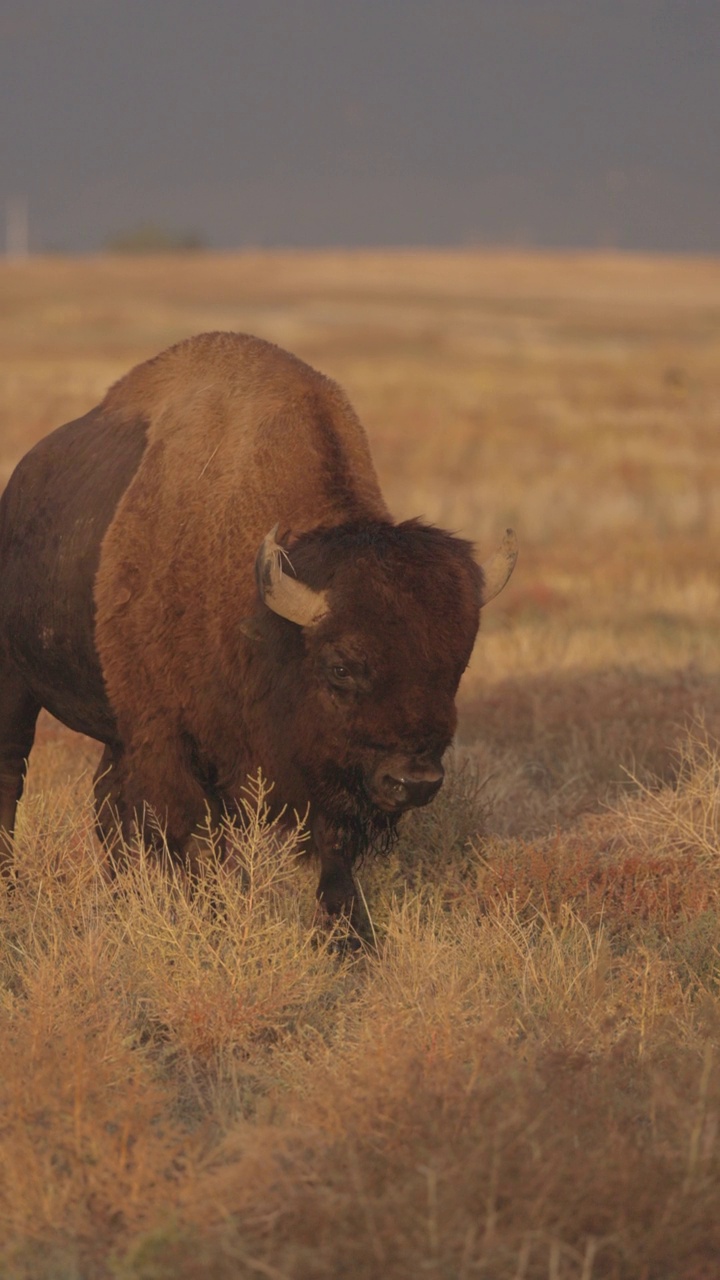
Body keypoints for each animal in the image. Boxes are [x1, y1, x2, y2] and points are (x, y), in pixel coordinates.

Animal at [0, 335, 515, 921]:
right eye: (340, 667)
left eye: (457, 664)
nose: (413, 781)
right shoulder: (173, 741)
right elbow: (194, 837)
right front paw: (213, 921)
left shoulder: (316, 768)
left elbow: (333, 850)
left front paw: (349, 934)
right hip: (16, 685)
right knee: (14, 774)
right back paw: (14, 887)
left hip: (115, 728)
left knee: (107, 800)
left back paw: (116, 896)